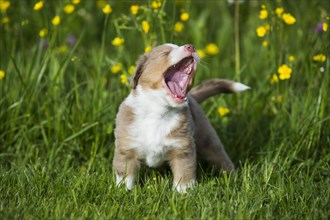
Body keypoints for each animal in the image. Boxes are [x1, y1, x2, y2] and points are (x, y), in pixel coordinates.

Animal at [113, 43, 250, 192]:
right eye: (165, 52)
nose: (191, 47)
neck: (158, 112)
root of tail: (192, 96)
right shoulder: (126, 148)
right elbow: (125, 174)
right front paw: (122, 191)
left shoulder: (182, 148)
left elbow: (184, 174)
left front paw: (183, 193)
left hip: (207, 138)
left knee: (220, 157)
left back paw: (232, 179)